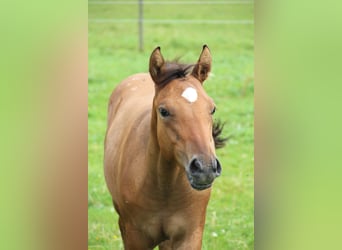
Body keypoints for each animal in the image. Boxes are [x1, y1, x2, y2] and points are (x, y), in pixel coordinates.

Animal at [104, 45, 227, 250]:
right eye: (163, 111)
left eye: (212, 109)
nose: (205, 168)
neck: (165, 188)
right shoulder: (135, 237)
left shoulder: (189, 236)